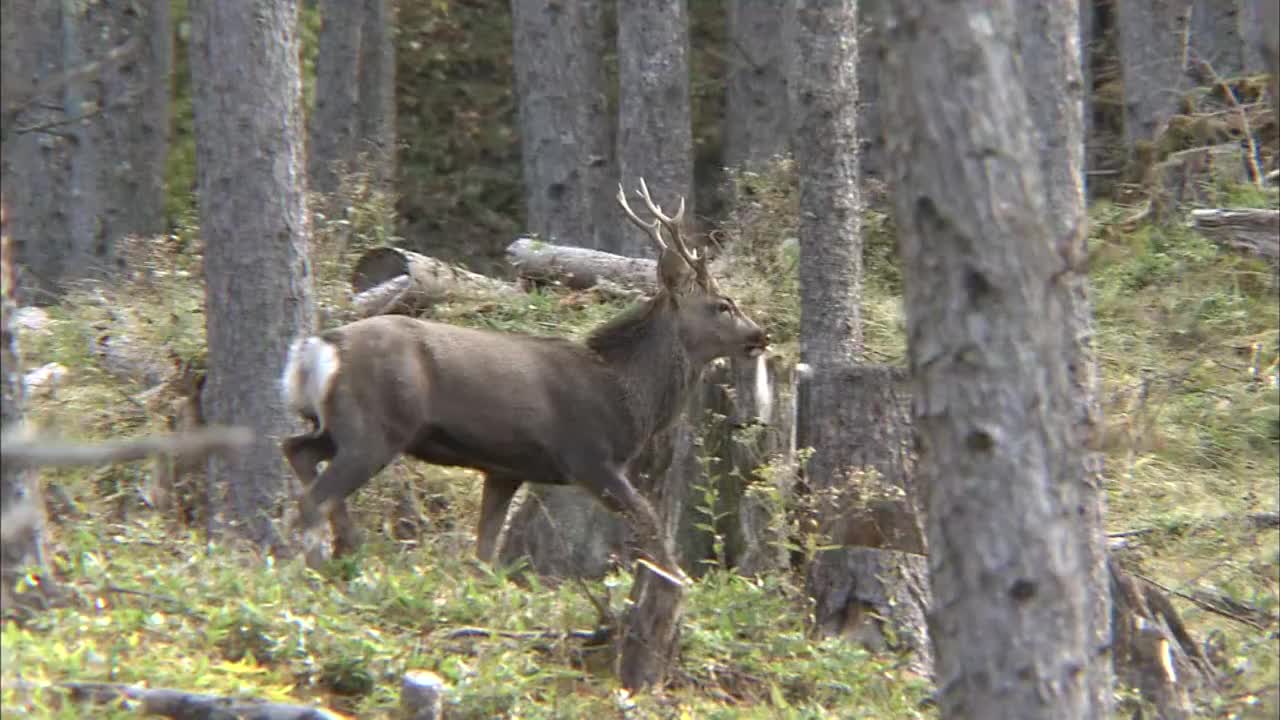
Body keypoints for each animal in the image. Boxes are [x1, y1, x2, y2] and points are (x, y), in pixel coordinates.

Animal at [280, 179, 768, 576]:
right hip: (375, 429)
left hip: (340, 426)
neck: (626, 393)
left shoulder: (505, 468)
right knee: (311, 498)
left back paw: (346, 550)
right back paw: (317, 564)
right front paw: (677, 583)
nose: (761, 334)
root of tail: (316, 348)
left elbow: (485, 552)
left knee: (297, 450)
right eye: (723, 305)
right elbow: (650, 525)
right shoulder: (589, 456)